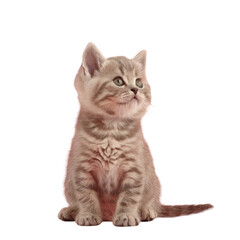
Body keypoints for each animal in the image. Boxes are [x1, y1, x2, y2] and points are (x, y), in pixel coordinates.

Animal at [57, 43, 212, 227]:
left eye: (139, 82)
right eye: (118, 81)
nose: (136, 89)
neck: (112, 130)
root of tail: (108, 215)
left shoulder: (135, 169)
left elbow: (129, 197)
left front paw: (126, 215)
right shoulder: (82, 168)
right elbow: (85, 195)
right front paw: (88, 215)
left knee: (150, 202)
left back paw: (146, 211)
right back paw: (71, 211)